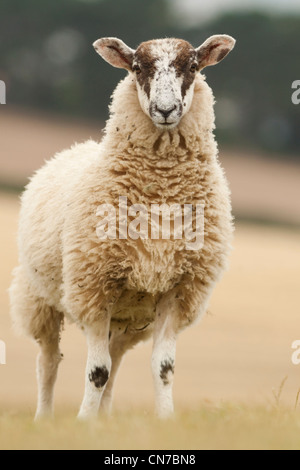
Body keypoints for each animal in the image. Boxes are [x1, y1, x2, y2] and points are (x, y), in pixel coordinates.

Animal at [9, 35, 236, 420]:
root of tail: (75, 148)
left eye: (192, 66)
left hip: (129, 318)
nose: (165, 109)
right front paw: (84, 423)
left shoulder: (178, 291)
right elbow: (96, 371)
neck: (162, 195)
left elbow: (162, 368)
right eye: (137, 68)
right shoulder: (95, 289)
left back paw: (106, 419)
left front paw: (165, 421)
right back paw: (45, 418)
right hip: (40, 300)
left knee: (114, 363)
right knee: (49, 362)